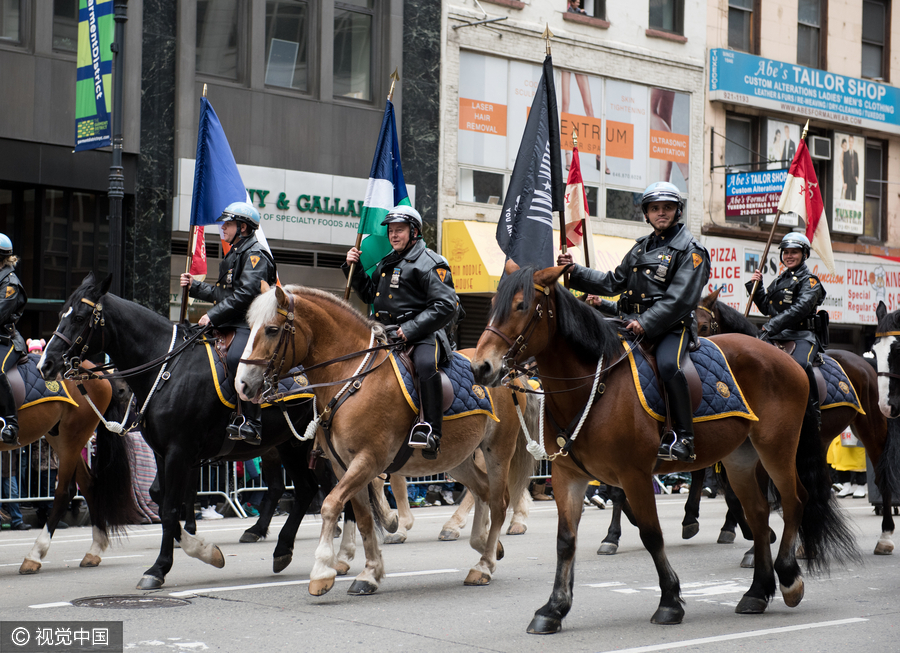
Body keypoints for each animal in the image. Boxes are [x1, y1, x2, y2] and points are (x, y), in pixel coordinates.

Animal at [0, 360, 139, 572]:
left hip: (72, 436)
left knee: (65, 491)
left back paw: (35, 554)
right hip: (60, 437)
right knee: (88, 485)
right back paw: (95, 549)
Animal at [38, 272, 370, 588]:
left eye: (80, 317)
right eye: (61, 314)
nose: (46, 364)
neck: (167, 368)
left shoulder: (179, 452)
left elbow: (170, 507)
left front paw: (159, 569)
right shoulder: (164, 453)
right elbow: (162, 500)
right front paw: (204, 549)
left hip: (313, 446)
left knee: (334, 490)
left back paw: (341, 556)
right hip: (289, 445)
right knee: (306, 489)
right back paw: (282, 549)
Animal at [234, 286, 536, 596]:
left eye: (272, 329)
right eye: (250, 326)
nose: (242, 385)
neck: (352, 376)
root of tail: (508, 372)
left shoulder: (368, 460)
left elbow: (331, 504)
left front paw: (322, 571)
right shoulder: (343, 465)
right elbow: (363, 518)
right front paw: (369, 572)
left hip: (497, 450)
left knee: (499, 501)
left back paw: (484, 564)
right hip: (455, 458)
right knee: (482, 491)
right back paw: (484, 542)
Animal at [472, 264, 856, 632]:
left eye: (522, 306)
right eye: (492, 307)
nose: (481, 366)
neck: (592, 386)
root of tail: (787, 359)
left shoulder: (635, 474)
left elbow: (651, 534)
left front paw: (670, 600)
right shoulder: (569, 476)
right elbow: (566, 541)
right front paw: (553, 608)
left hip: (776, 448)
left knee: (795, 501)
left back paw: (789, 577)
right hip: (741, 458)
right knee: (759, 514)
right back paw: (757, 591)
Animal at [700, 290, 896, 556]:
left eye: (703, 326)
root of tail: (866, 363)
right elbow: (738, 495)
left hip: (872, 428)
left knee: (881, 477)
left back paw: (885, 537)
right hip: (821, 439)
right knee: (820, 485)